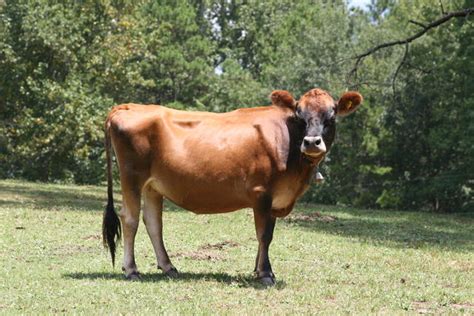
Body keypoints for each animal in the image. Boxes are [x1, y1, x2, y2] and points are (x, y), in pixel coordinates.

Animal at [103, 87, 362, 286]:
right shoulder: (261, 192)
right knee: (130, 218)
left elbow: (267, 233)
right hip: (131, 176)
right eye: (299, 115)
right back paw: (131, 270)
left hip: (153, 185)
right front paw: (265, 274)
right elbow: (264, 234)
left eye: (331, 116)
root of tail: (128, 106)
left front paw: (259, 269)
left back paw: (168, 267)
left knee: (153, 222)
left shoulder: (275, 198)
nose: (311, 142)